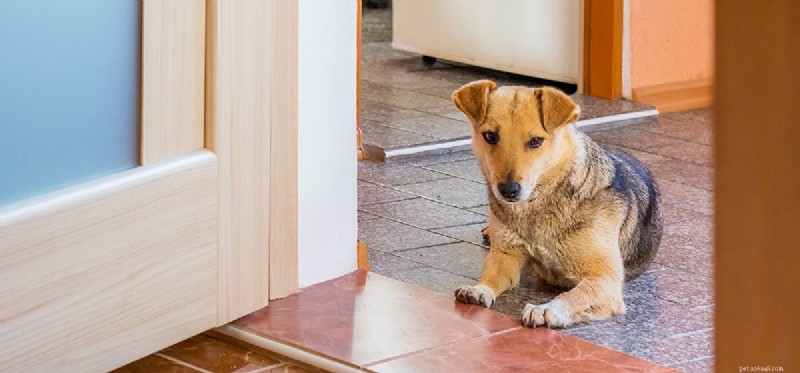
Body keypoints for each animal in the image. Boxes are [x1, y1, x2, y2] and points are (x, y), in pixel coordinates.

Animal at [450, 80, 664, 326]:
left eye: (535, 141)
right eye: (490, 136)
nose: (508, 190)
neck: (538, 204)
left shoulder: (604, 280)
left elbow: (574, 295)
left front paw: (547, 309)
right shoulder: (506, 254)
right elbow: (492, 273)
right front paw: (479, 289)